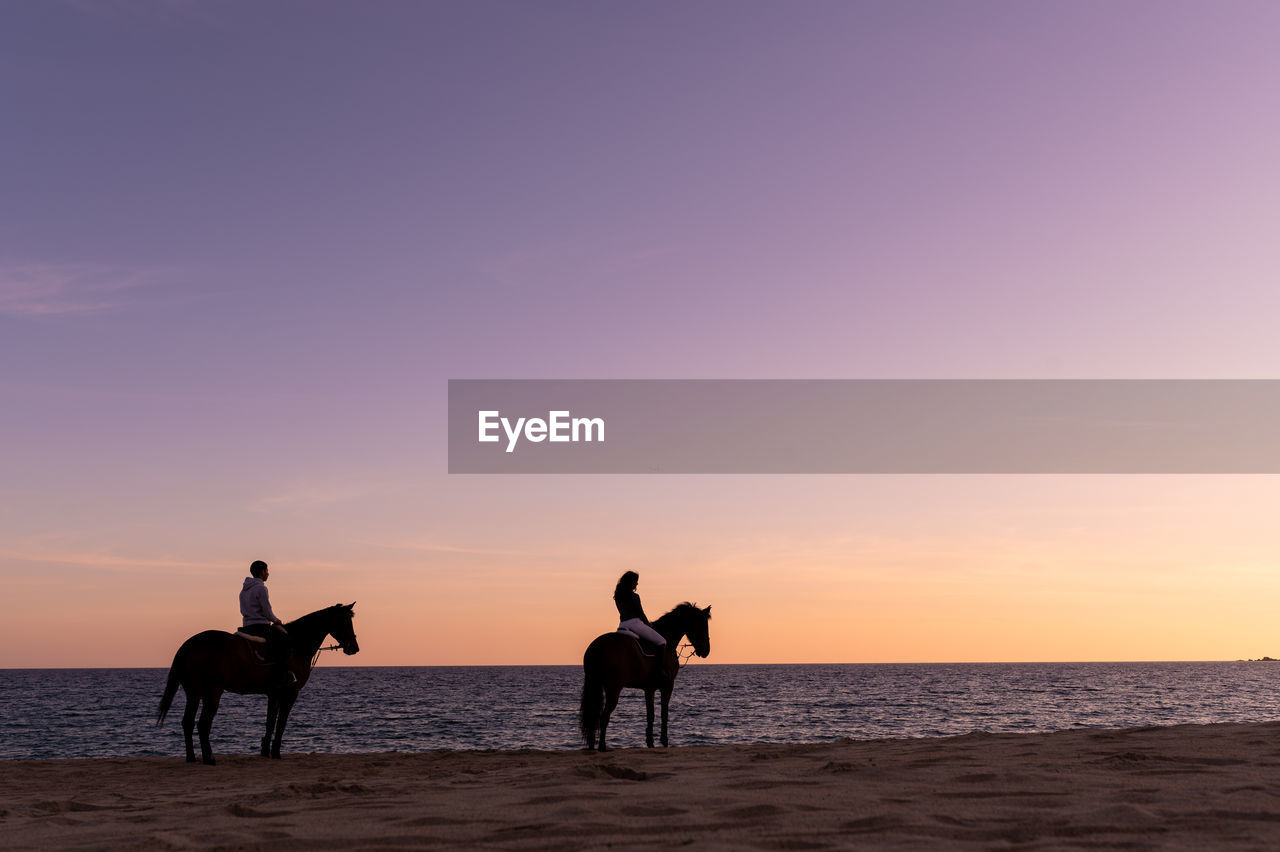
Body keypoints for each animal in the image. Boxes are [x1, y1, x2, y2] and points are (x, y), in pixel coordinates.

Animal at [160, 596, 363, 762]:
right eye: (345, 621)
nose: (354, 648)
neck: (298, 643)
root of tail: (188, 645)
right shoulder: (290, 693)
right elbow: (281, 723)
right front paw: (276, 753)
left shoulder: (273, 694)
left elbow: (270, 722)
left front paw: (265, 751)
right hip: (213, 692)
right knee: (203, 724)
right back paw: (209, 758)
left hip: (194, 692)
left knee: (187, 722)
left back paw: (192, 758)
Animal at [581, 601, 711, 747]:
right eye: (704, 626)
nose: (706, 650)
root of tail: (597, 646)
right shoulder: (668, 686)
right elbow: (664, 713)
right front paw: (664, 741)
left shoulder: (649, 688)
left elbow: (651, 714)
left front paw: (650, 742)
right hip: (613, 689)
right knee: (604, 716)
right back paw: (602, 747)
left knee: (593, 714)